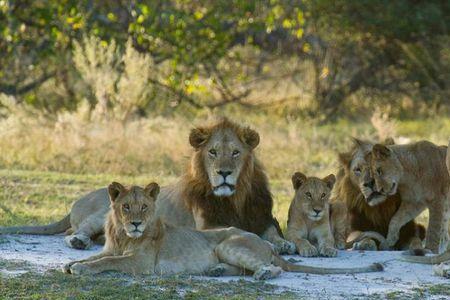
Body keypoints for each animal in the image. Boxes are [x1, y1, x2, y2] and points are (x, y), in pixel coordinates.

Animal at [61, 180, 382, 278]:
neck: (122, 235)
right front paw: (71, 262)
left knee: (269, 268)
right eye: (126, 207)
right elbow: (98, 256)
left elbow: (106, 262)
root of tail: (268, 245)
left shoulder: (141, 263)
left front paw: (81, 268)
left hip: (227, 243)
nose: (137, 223)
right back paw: (215, 271)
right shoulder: (111, 248)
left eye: (144, 207)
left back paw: (263, 274)